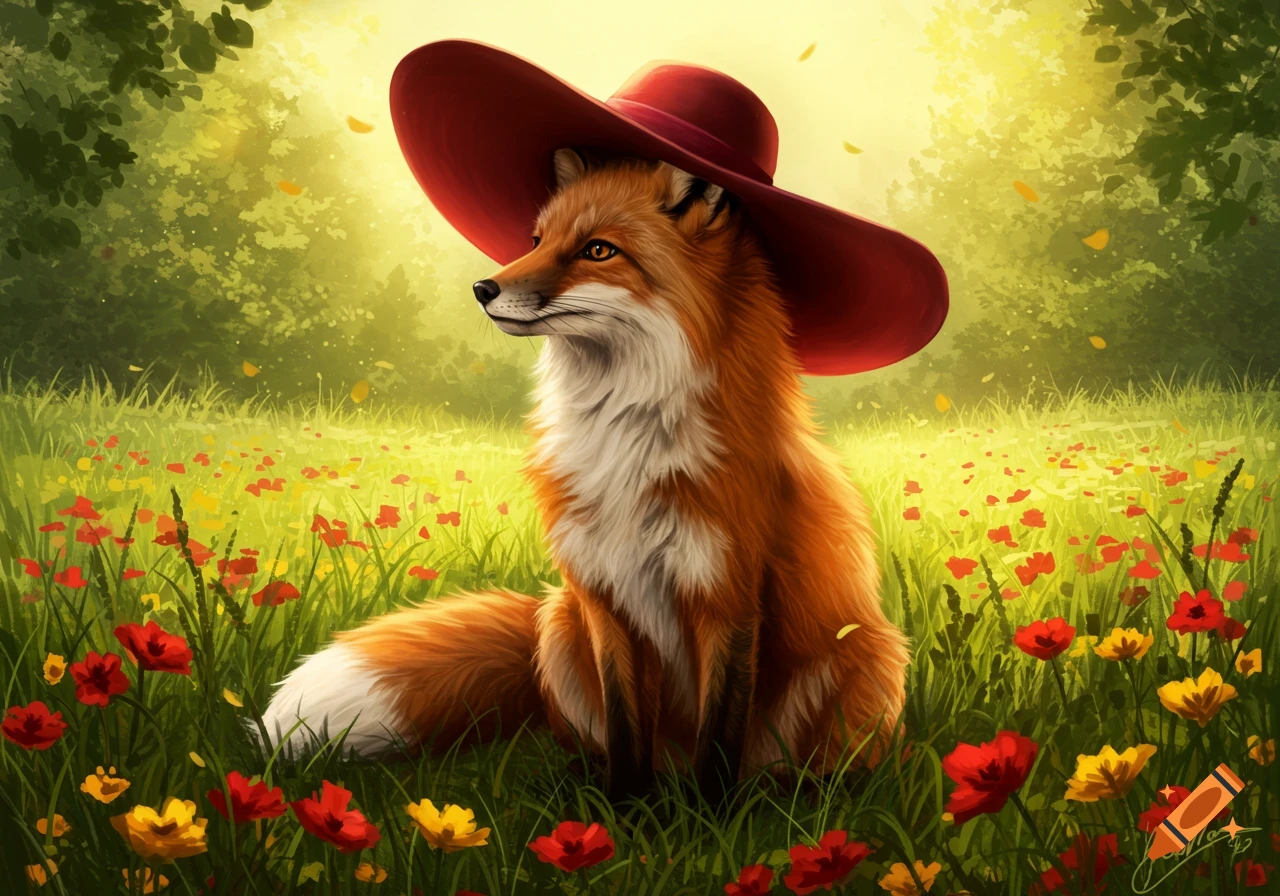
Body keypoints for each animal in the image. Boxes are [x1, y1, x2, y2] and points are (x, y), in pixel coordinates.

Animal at [261, 149, 910, 802]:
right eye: (536, 240)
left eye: (598, 250)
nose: (482, 288)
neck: (626, 440)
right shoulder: (605, 596)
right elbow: (624, 729)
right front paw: (623, 808)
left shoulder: (727, 600)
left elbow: (719, 743)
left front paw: (710, 818)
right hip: (557, 624)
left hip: (864, 661)